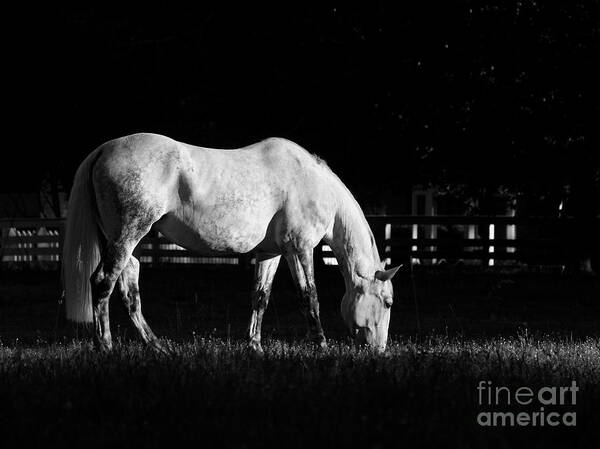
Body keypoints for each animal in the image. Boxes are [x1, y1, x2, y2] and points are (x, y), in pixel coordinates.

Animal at [62, 131, 398, 352]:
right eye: (388, 302)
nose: (379, 350)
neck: (314, 184)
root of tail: (104, 150)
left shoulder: (270, 253)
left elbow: (260, 297)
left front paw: (255, 346)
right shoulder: (300, 249)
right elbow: (309, 296)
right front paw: (321, 344)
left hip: (128, 244)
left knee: (129, 293)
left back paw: (157, 346)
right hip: (128, 236)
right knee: (103, 283)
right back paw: (105, 347)